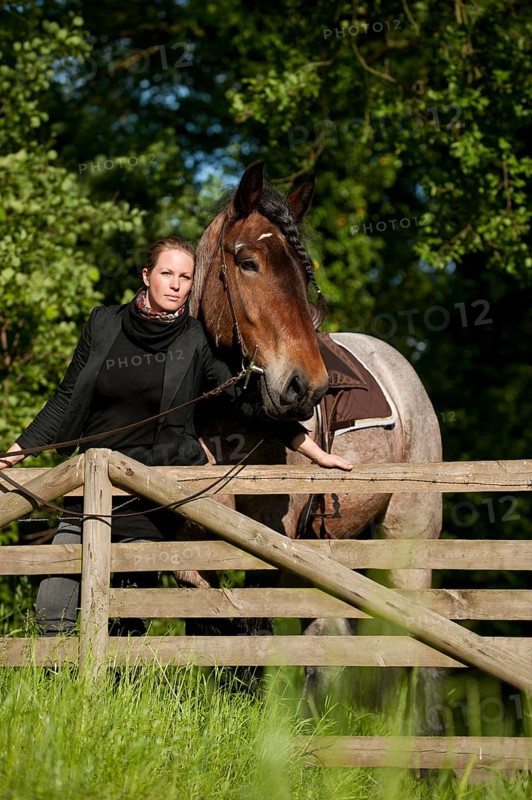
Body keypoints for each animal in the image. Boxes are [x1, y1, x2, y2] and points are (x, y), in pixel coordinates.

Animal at [187, 160, 443, 732]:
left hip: (408, 541)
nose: (307, 387)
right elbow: (203, 621)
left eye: (305, 277)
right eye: (249, 262)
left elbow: (257, 630)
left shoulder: (272, 536)